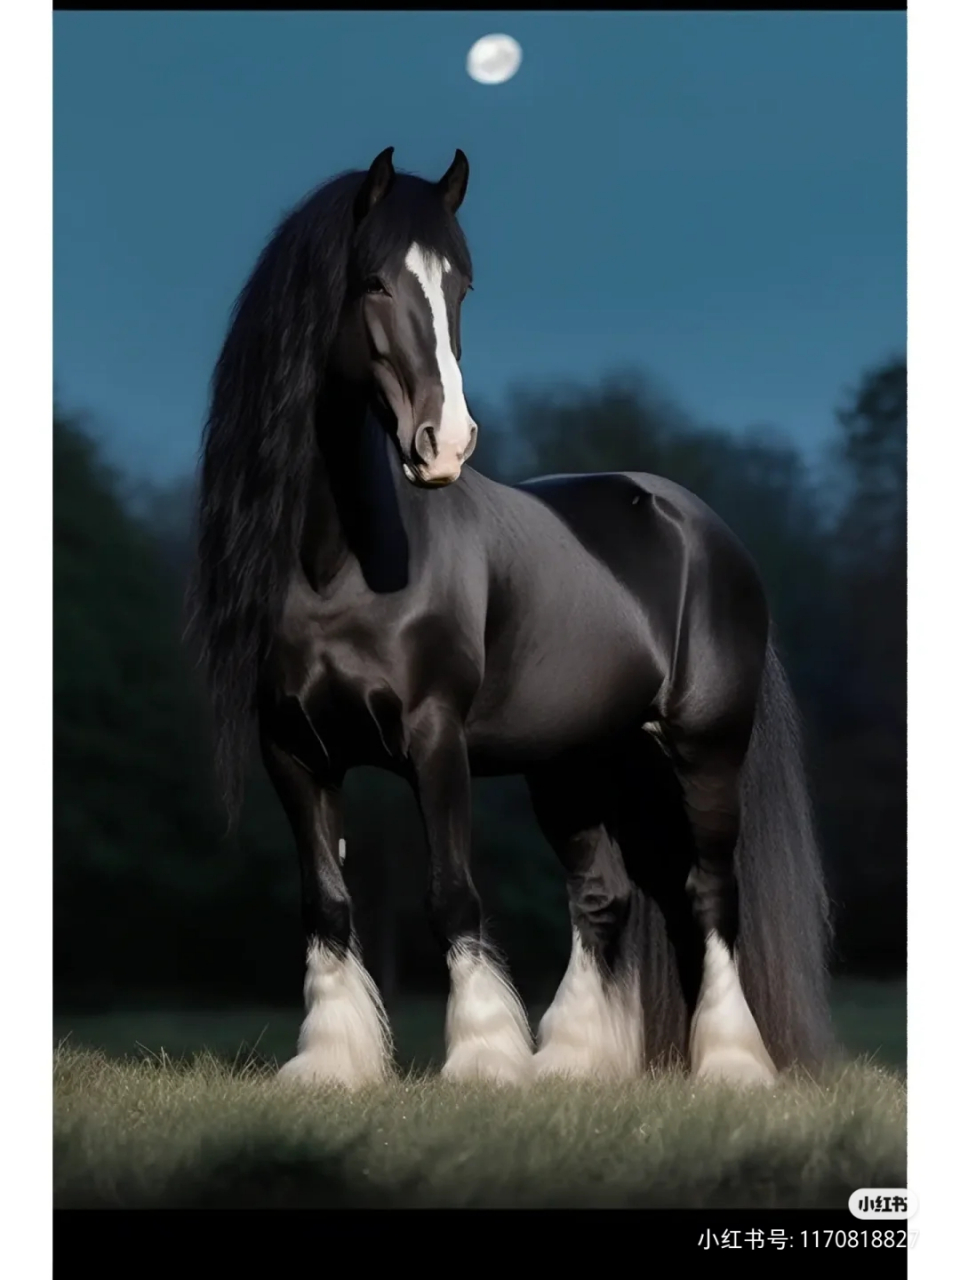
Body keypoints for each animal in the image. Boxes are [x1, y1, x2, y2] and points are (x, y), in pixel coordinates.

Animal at [188, 147, 834, 1090]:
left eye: (459, 283)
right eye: (372, 281)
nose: (445, 443)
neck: (341, 562)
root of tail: (701, 525)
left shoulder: (435, 736)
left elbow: (452, 893)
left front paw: (484, 1061)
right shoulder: (293, 750)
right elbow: (327, 903)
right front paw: (332, 1063)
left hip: (705, 748)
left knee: (710, 894)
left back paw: (730, 1065)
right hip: (577, 763)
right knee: (602, 899)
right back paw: (571, 1064)